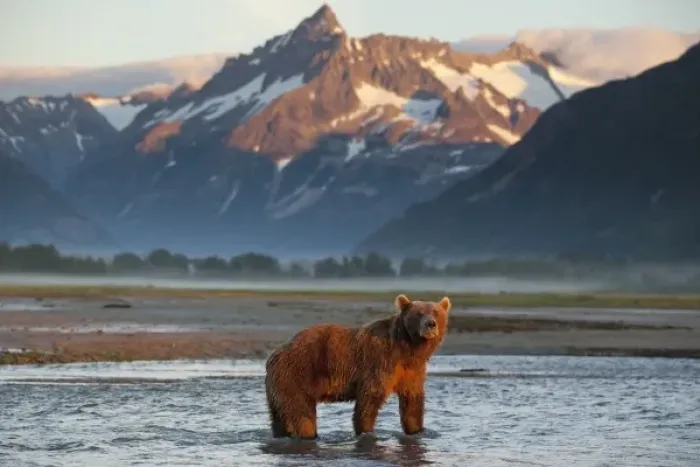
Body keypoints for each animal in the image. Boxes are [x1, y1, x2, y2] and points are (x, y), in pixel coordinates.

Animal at [264, 293, 451, 439]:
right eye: (419, 313)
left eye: (435, 312)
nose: (430, 324)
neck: (408, 348)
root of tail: (273, 355)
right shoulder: (380, 363)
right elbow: (369, 400)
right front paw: (366, 432)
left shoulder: (412, 370)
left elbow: (412, 402)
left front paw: (417, 431)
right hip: (297, 375)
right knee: (302, 416)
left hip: (279, 388)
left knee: (278, 419)